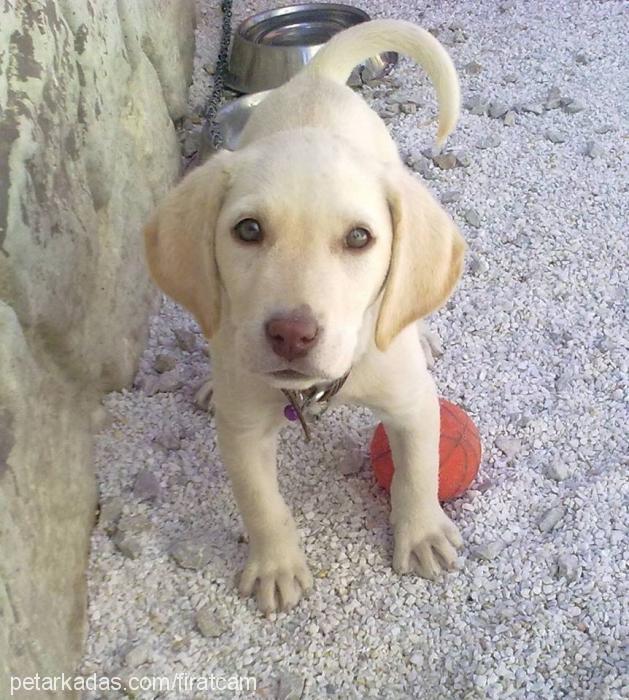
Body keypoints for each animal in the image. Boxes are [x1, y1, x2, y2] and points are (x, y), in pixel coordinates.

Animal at [144, 19, 466, 616]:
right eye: (248, 230)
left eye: (359, 238)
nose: (291, 334)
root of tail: (316, 77)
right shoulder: (243, 430)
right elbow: (261, 503)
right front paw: (275, 567)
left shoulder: (412, 403)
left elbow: (417, 471)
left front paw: (423, 534)